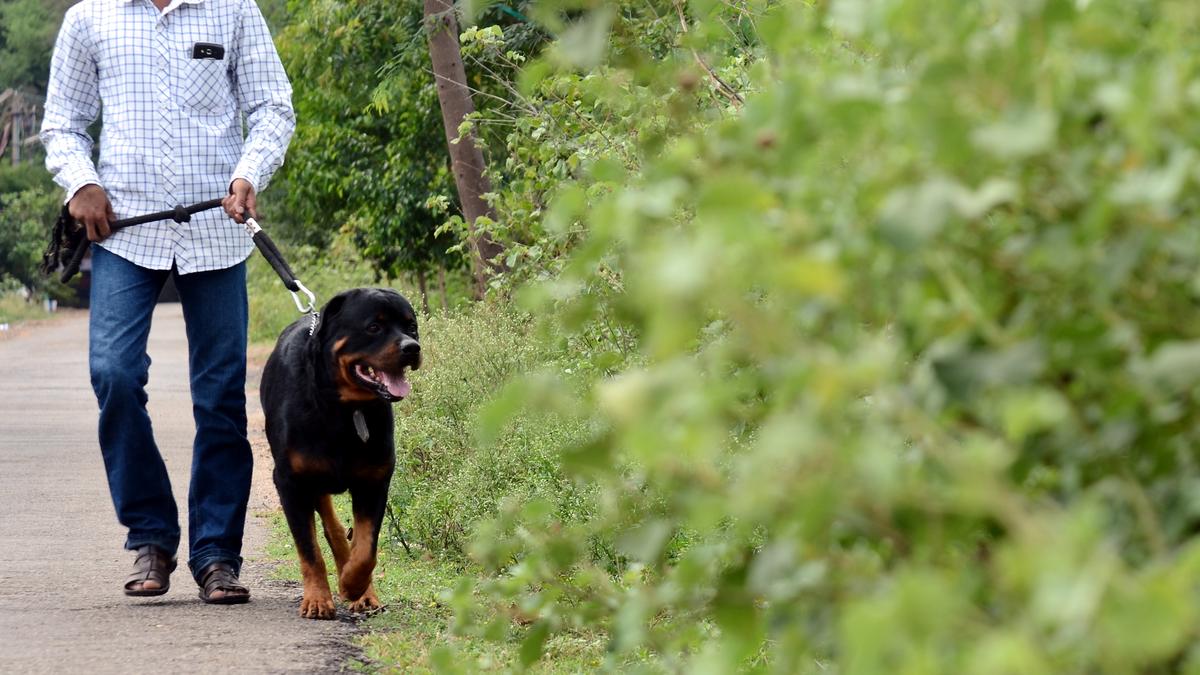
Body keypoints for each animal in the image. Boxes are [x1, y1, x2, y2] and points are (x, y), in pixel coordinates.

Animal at [260, 285, 420, 619]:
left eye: (411, 326)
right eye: (374, 327)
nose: (412, 347)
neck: (344, 409)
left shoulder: (375, 480)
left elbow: (366, 548)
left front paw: (354, 585)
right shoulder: (290, 482)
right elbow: (309, 550)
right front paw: (317, 599)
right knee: (330, 526)